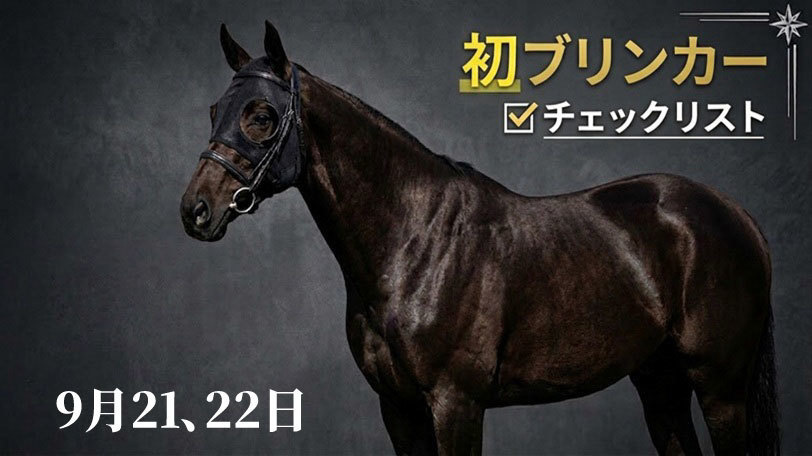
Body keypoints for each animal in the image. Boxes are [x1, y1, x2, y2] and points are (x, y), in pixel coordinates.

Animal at [180, 21, 778, 456]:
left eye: (262, 115)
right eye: (214, 111)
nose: (196, 210)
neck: (415, 246)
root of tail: (736, 213)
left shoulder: (456, 403)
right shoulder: (398, 409)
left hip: (721, 388)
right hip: (660, 384)